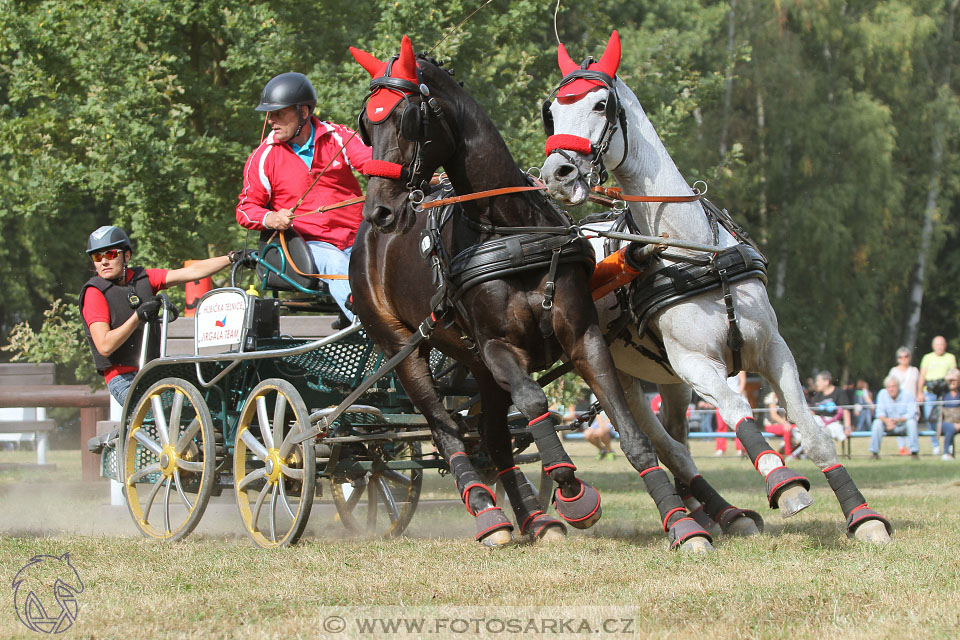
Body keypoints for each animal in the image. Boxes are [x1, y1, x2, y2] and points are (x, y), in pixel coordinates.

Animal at [344, 36, 712, 552]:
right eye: (367, 123)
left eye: (408, 117)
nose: (380, 209)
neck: (510, 227)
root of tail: (365, 246)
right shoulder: (499, 349)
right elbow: (537, 403)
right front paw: (573, 492)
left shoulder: (582, 338)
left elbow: (632, 433)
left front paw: (682, 523)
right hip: (406, 350)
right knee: (446, 431)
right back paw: (489, 515)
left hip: (474, 365)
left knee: (493, 436)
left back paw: (535, 518)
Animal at [540, 31, 892, 544]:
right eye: (551, 111)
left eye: (601, 104)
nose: (555, 175)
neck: (696, 252)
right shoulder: (696, 364)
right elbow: (736, 407)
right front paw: (785, 483)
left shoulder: (773, 350)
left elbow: (812, 429)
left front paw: (862, 516)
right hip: (614, 374)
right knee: (666, 445)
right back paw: (709, 513)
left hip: (665, 381)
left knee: (678, 439)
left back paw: (715, 513)